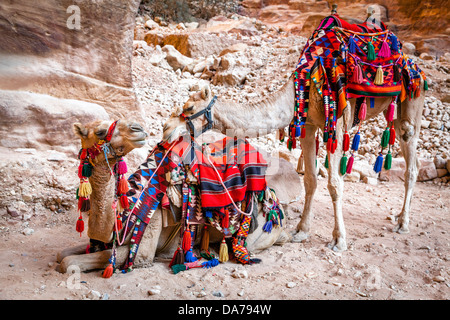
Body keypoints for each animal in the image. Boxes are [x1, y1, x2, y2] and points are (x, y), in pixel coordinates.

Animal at [57, 119, 288, 274]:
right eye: (100, 131)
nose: (137, 128)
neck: (128, 208)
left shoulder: (144, 247)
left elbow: (72, 262)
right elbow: (65, 253)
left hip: (257, 234)